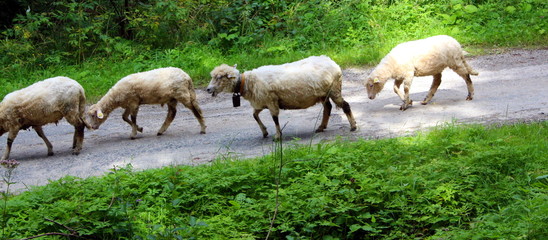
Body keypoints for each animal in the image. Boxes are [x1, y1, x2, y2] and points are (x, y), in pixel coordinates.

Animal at [206, 55, 356, 140]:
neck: (247, 82)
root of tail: (332, 62)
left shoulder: (271, 101)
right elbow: (255, 115)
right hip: (323, 93)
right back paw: (321, 127)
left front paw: (277, 136)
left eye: (219, 77)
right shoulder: (261, 102)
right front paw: (264, 132)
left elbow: (275, 119)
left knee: (345, 105)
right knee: (328, 108)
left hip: (334, 89)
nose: (207, 89)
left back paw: (353, 126)